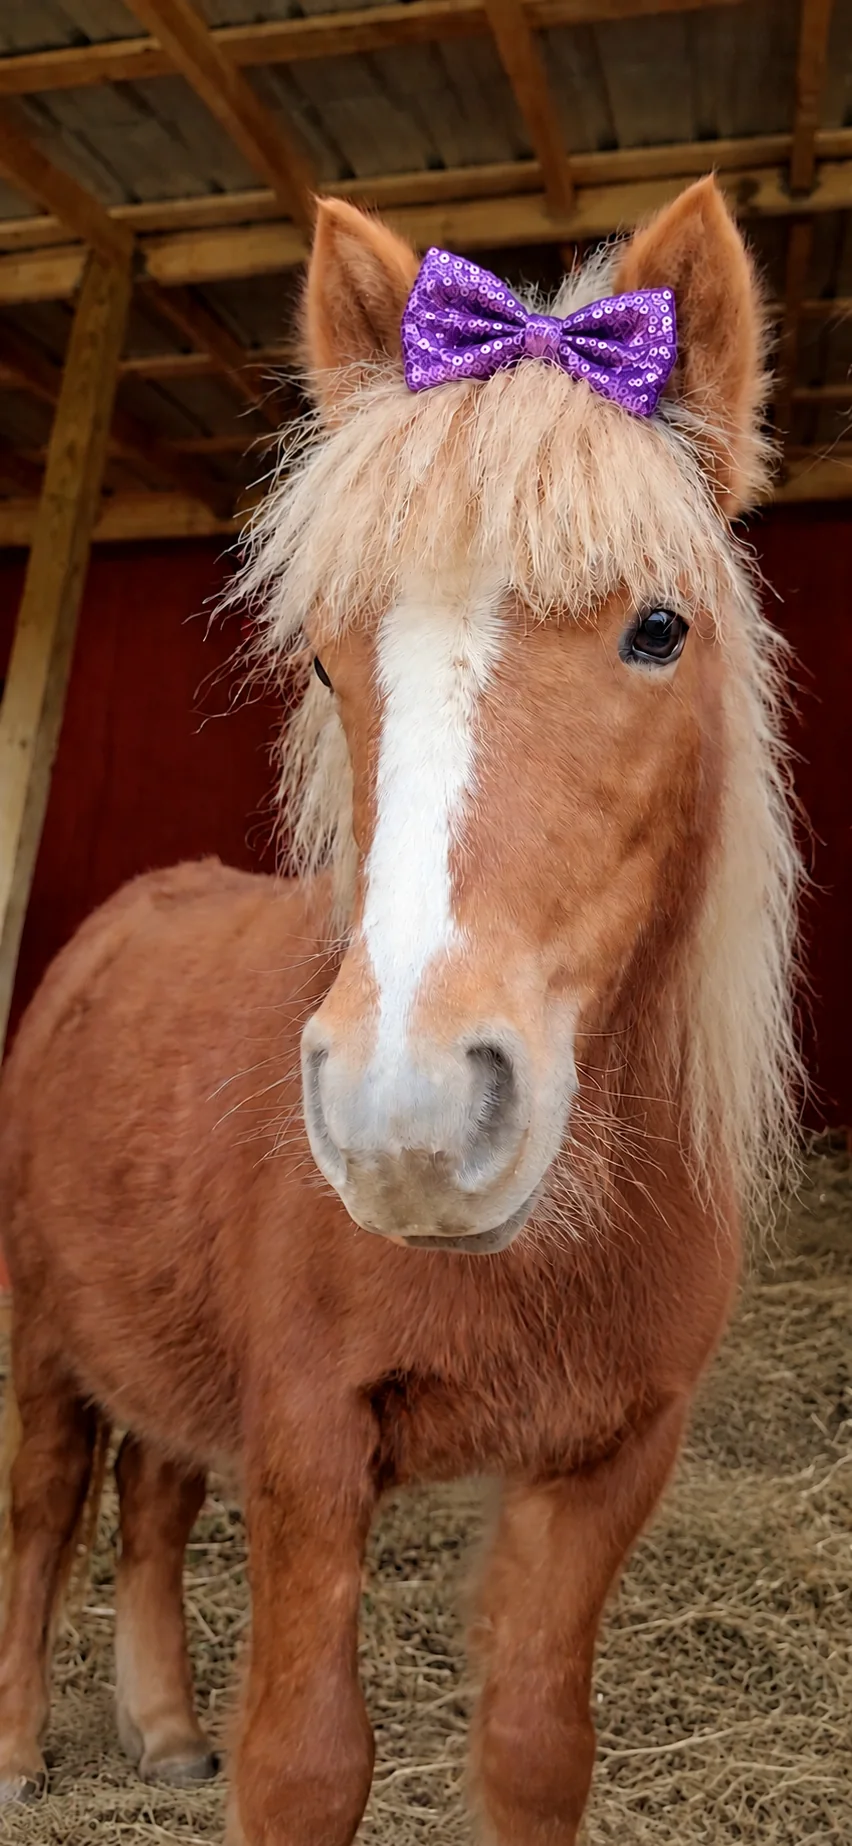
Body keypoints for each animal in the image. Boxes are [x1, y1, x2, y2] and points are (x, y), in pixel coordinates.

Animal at [0, 176, 798, 1846]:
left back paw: (163, 1729)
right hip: (43, 1332)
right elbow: (306, 1762)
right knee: (45, 1506)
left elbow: (535, 1749)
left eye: (659, 629)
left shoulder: (607, 1464)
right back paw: (22, 1743)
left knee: (154, 1496)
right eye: (324, 656)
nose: (409, 1113)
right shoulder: (311, 1439)